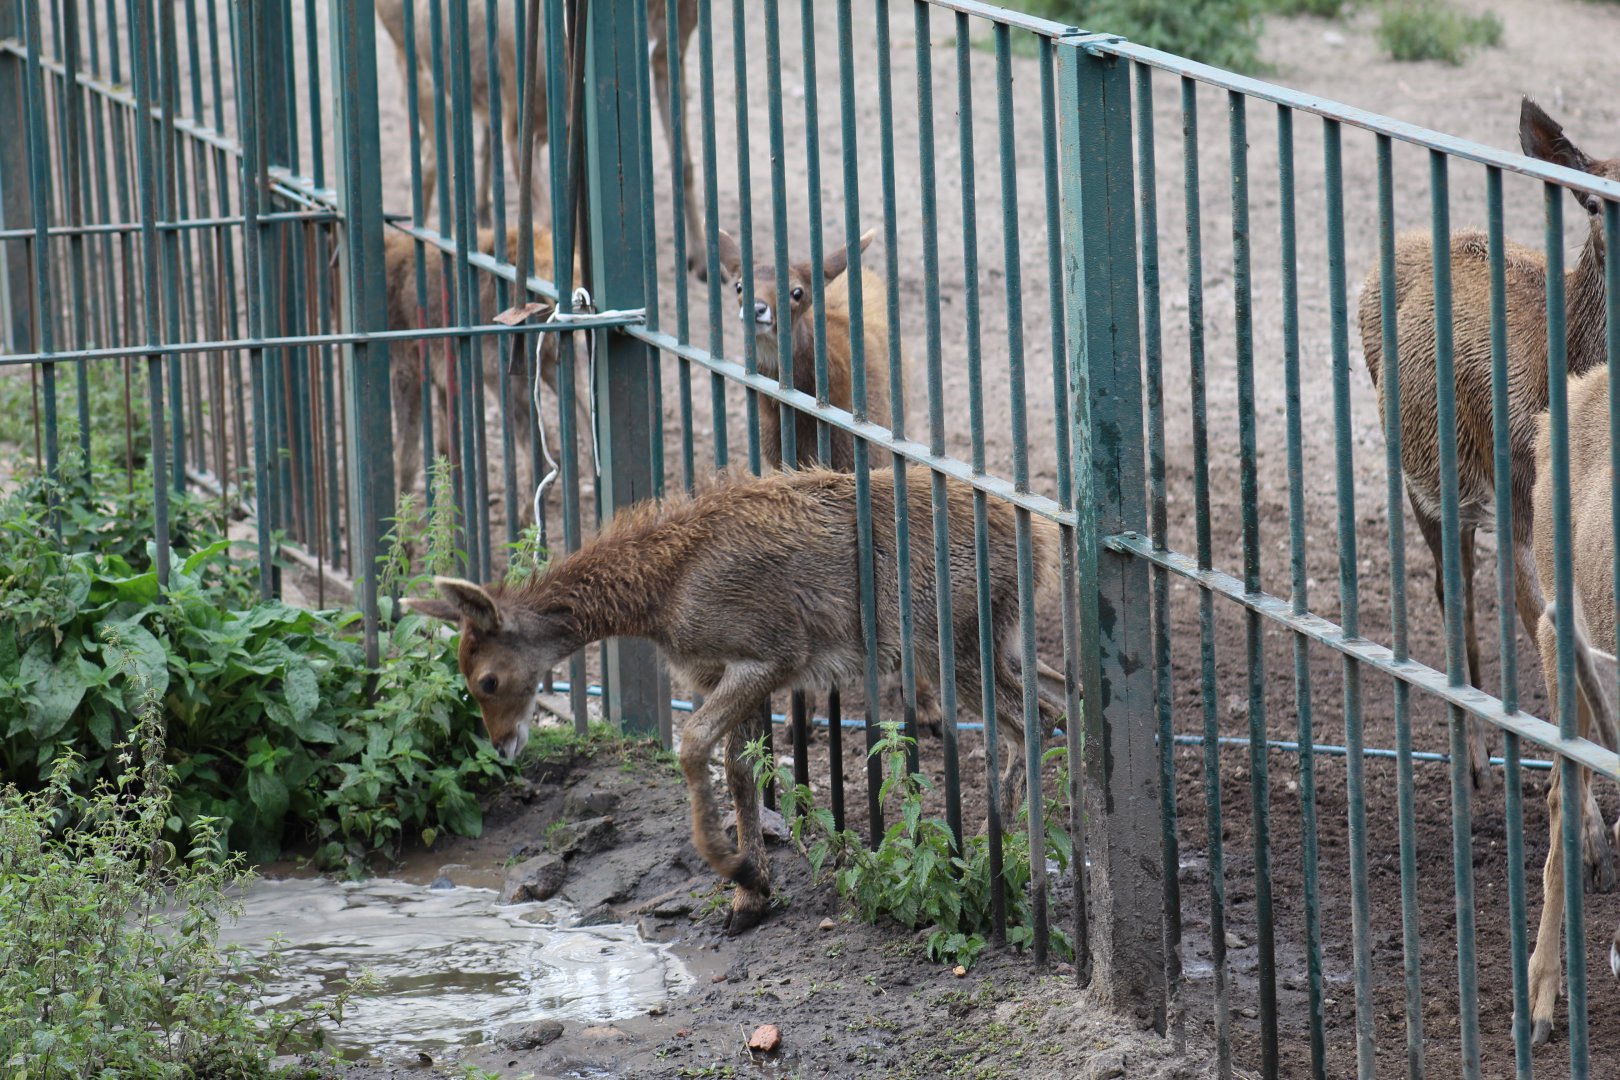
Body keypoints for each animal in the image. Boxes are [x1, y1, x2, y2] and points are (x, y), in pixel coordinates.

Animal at [373, 0, 706, 276]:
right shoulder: (520, 123)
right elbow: (549, 223)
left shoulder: (668, 58)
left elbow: (684, 163)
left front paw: (700, 258)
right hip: (423, 76)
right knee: (438, 167)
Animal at [385, 224, 590, 516]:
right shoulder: (444, 378)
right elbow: (447, 448)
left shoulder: (406, 366)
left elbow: (406, 455)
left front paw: (404, 526)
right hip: (562, 360)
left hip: (501, 372)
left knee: (546, 447)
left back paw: (526, 523)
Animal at [408, 466, 1068, 933]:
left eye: (486, 680)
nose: (502, 745)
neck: (663, 596)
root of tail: (1040, 545)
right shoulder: (737, 673)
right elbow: (742, 769)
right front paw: (752, 894)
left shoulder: (770, 654)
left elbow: (695, 743)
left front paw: (737, 869)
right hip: (999, 641)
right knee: (1058, 695)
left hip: (950, 643)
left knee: (1033, 717)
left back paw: (996, 850)